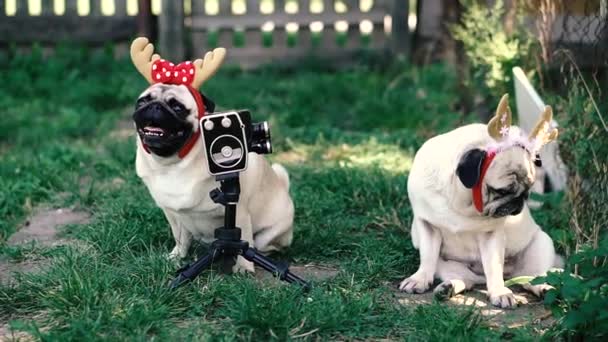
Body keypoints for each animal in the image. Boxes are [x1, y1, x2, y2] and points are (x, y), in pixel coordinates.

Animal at [129, 38, 296, 272]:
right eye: (142, 102)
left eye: (177, 107)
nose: (155, 107)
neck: (172, 163)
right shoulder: (172, 214)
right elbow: (180, 238)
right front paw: (177, 257)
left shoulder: (239, 211)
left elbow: (243, 237)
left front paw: (244, 267)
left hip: (272, 232)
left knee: (264, 244)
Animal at [400, 95, 564, 308]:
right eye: (501, 191)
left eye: (527, 192)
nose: (517, 203)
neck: (460, 204)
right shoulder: (428, 227)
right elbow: (427, 258)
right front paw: (419, 280)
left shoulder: (491, 235)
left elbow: (494, 267)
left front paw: (500, 293)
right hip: (448, 265)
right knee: (466, 279)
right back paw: (448, 287)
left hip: (541, 245)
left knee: (531, 279)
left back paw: (543, 288)